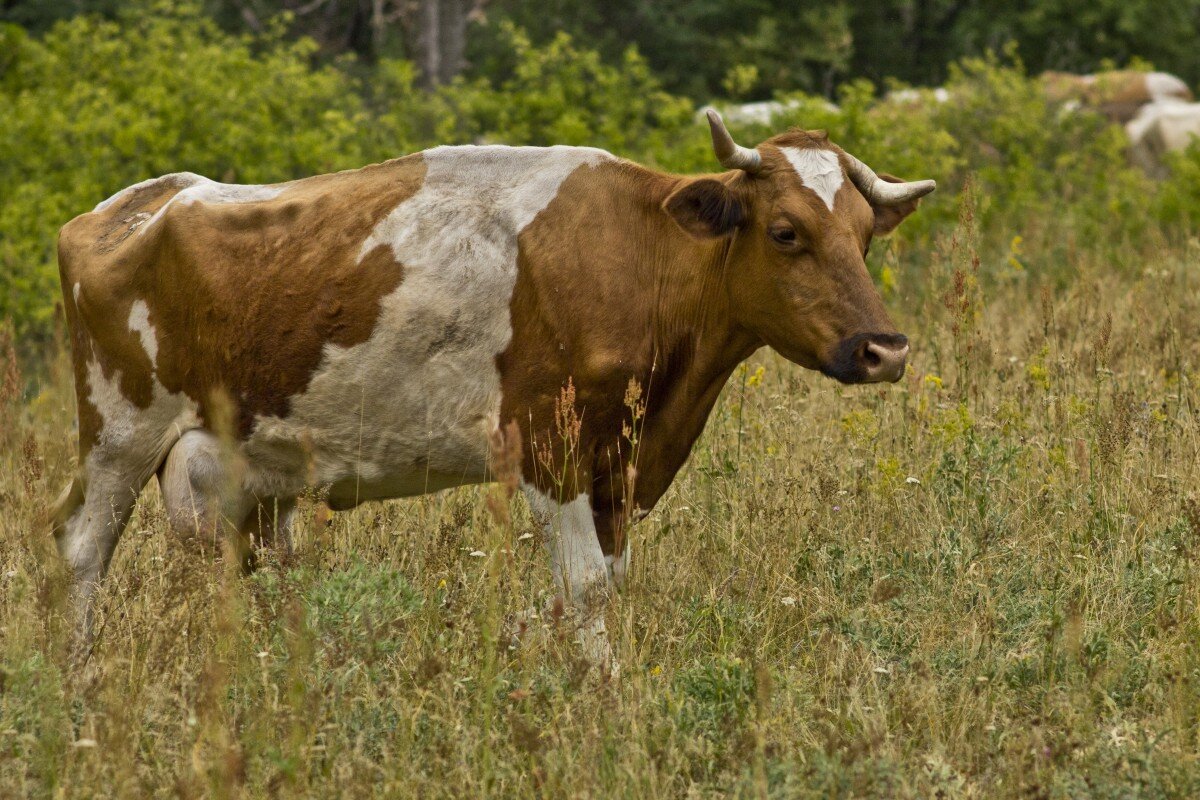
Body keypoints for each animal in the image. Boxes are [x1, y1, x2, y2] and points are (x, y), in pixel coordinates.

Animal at [51, 110, 931, 662]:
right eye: (786, 232)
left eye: (863, 235)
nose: (883, 350)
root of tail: (146, 198)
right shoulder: (549, 447)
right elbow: (588, 588)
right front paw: (598, 698)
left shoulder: (623, 467)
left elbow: (600, 584)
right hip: (119, 432)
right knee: (82, 547)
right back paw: (79, 680)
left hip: (254, 464)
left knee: (262, 565)